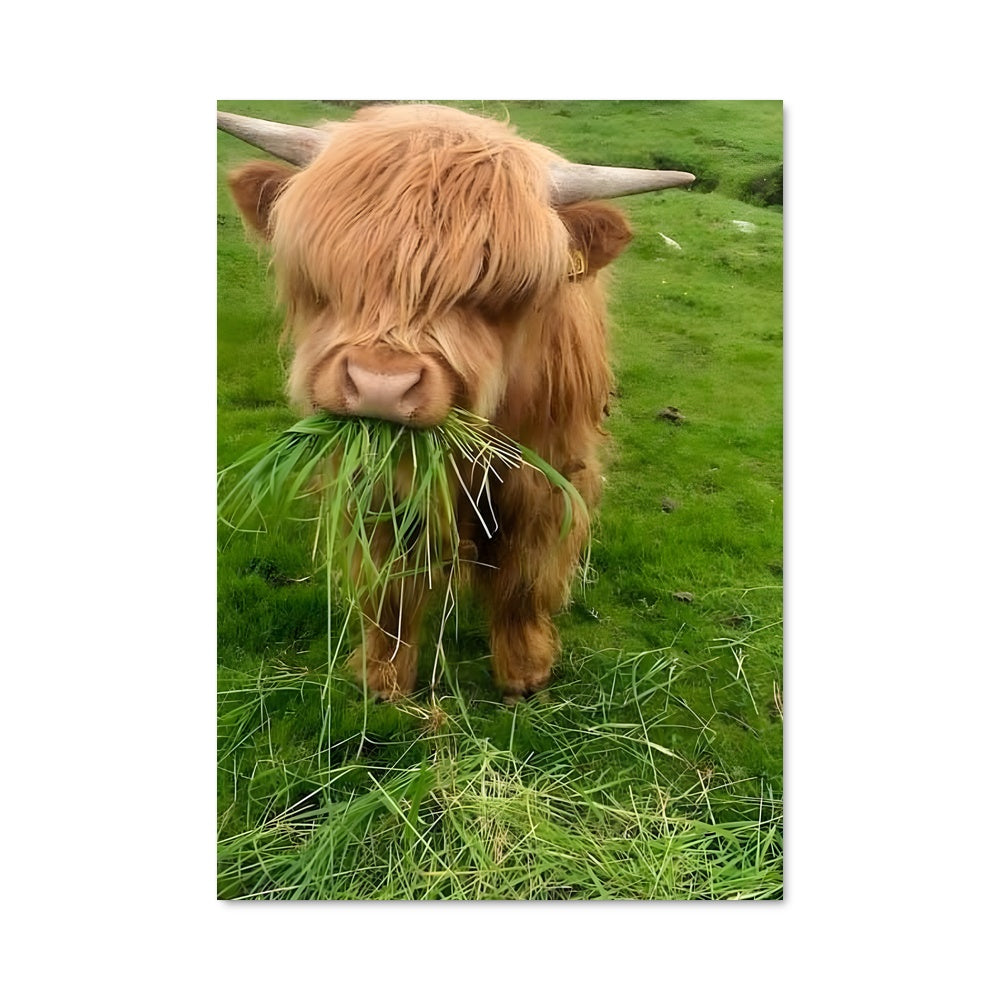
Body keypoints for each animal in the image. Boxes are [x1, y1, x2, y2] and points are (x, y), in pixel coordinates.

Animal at [219, 103, 693, 702]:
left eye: (497, 291)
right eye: (326, 276)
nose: (381, 384)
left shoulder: (545, 474)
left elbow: (524, 572)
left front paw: (524, 672)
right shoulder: (377, 481)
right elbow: (389, 583)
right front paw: (383, 679)